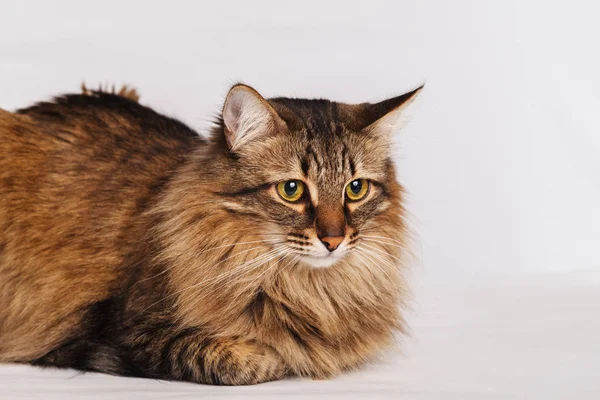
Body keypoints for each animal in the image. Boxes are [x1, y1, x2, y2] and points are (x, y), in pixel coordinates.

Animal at [0, 82, 422, 384]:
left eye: (356, 189)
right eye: (291, 190)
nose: (334, 241)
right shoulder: (122, 331)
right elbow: (247, 361)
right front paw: (279, 355)